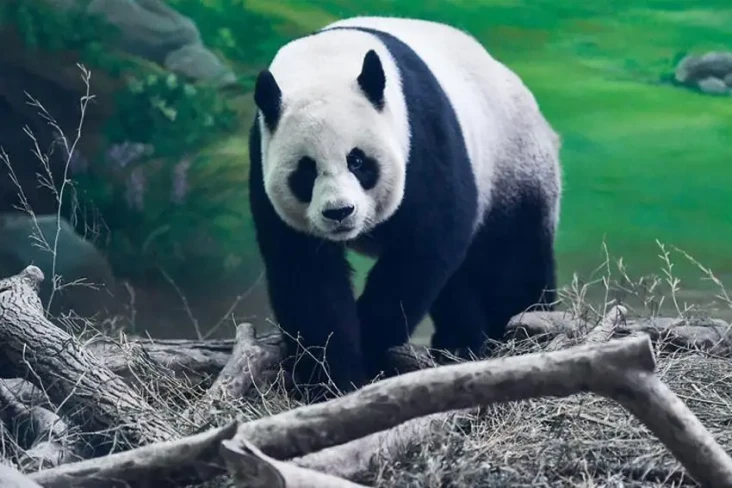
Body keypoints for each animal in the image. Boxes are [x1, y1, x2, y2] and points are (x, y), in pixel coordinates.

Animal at [248, 16, 562, 395]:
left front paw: (369, 345)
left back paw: (513, 330)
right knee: (460, 281)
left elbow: (424, 247)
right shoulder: (263, 158)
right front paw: (330, 376)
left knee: (511, 260)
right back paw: (460, 340)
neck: (324, 62)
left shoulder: (421, 136)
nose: (339, 212)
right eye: (306, 171)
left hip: (513, 162)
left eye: (357, 161)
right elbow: (306, 275)